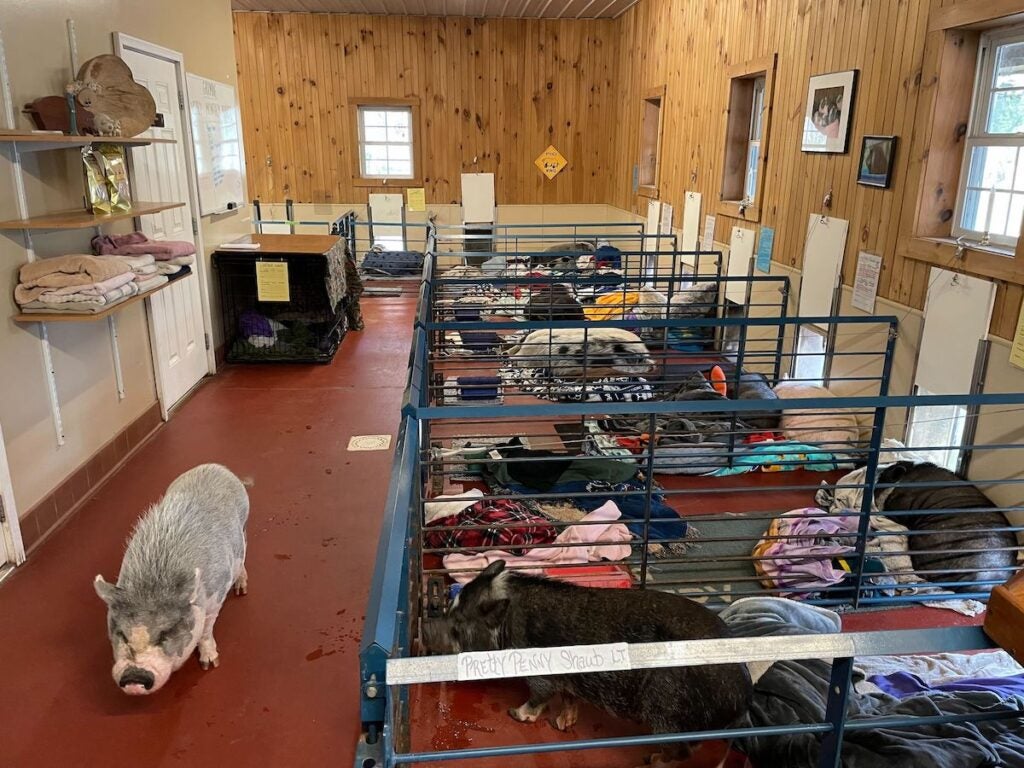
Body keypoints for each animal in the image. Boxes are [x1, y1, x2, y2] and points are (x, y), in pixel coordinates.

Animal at [94, 462, 249, 696]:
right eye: (121, 633)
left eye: (166, 632)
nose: (133, 677)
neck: (151, 585)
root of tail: (215, 466)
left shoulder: (216, 597)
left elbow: (206, 630)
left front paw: (210, 664)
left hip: (242, 527)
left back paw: (241, 588)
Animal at [423, 561, 753, 765]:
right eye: (449, 609)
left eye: (458, 627)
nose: (426, 631)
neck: (507, 624)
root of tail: (742, 699)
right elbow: (569, 698)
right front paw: (561, 724)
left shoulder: (540, 671)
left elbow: (539, 696)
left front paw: (516, 714)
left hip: (668, 713)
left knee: (682, 751)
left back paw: (651, 761)